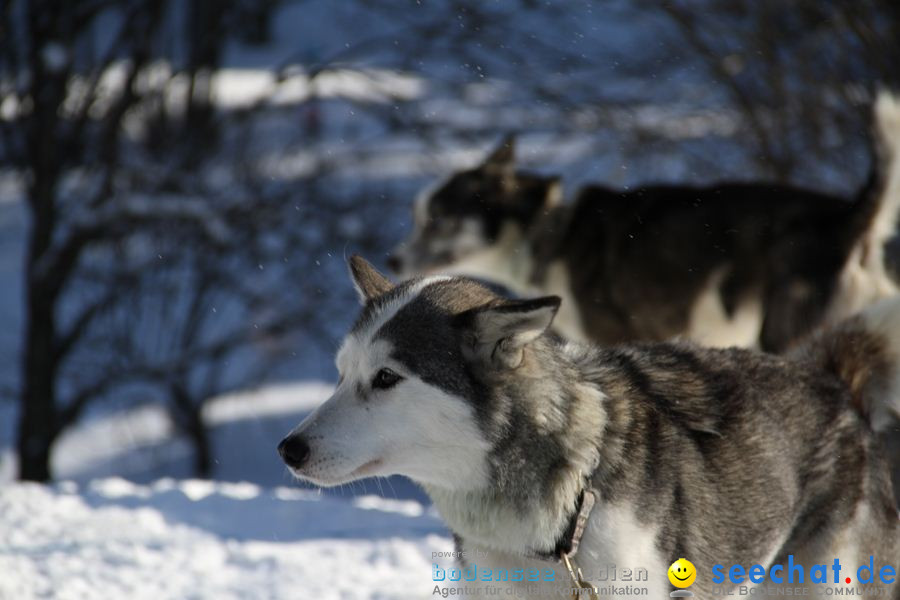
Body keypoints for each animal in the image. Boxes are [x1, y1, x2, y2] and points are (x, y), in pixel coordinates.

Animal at [388, 94, 900, 352]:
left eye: (437, 219)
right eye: (416, 216)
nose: (392, 259)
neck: (552, 233)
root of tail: (851, 219)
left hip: (785, 332)